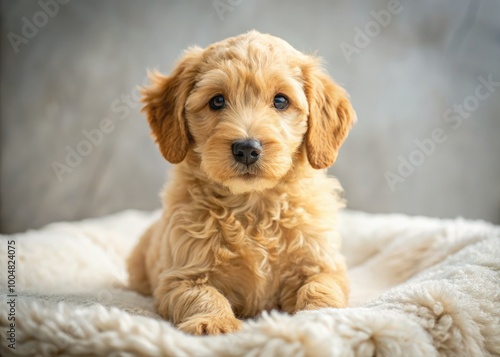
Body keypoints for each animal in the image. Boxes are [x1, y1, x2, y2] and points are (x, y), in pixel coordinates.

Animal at [128, 29, 356, 334]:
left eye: (281, 101)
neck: (253, 206)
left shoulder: (322, 265)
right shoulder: (180, 276)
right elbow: (204, 295)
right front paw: (214, 322)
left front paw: (321, 315)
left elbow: (320, 288)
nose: (247, 148)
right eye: (217, 101)